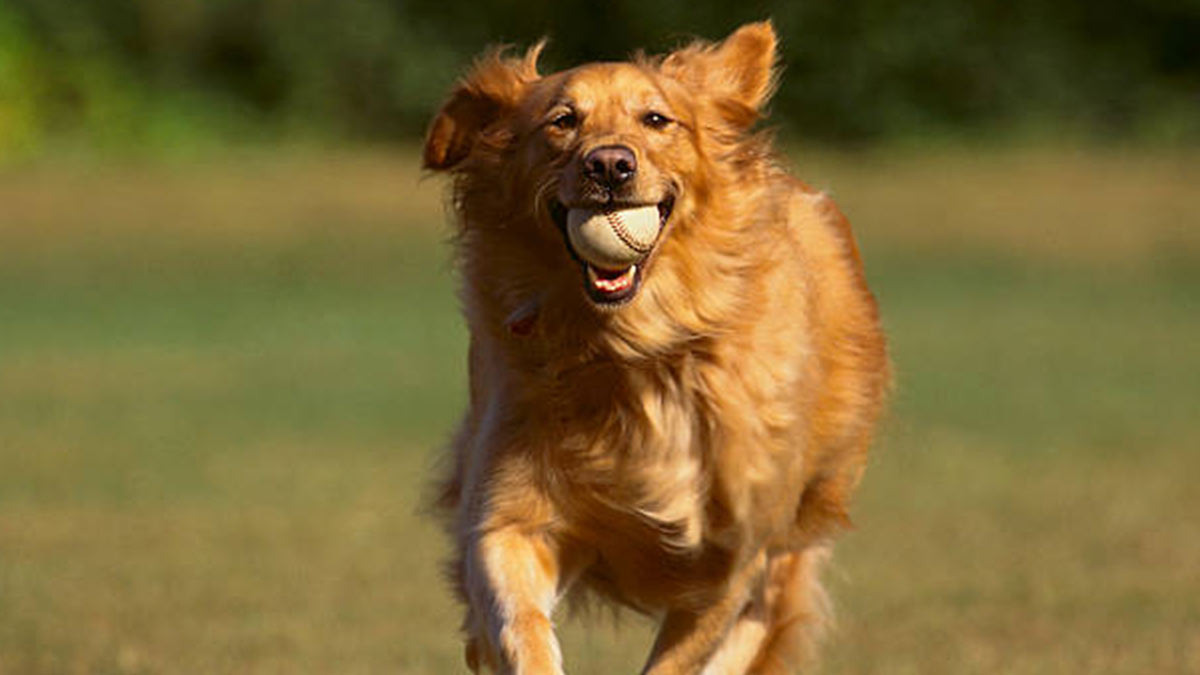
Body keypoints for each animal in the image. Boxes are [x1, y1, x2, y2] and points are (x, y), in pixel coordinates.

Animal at [427, 21, 888, 672]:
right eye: (562, 120)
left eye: (655, 119)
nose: (609, 165)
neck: (634, 351)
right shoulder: (507, 516)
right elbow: (521, 625)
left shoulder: (732, 561)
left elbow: (683, 656)